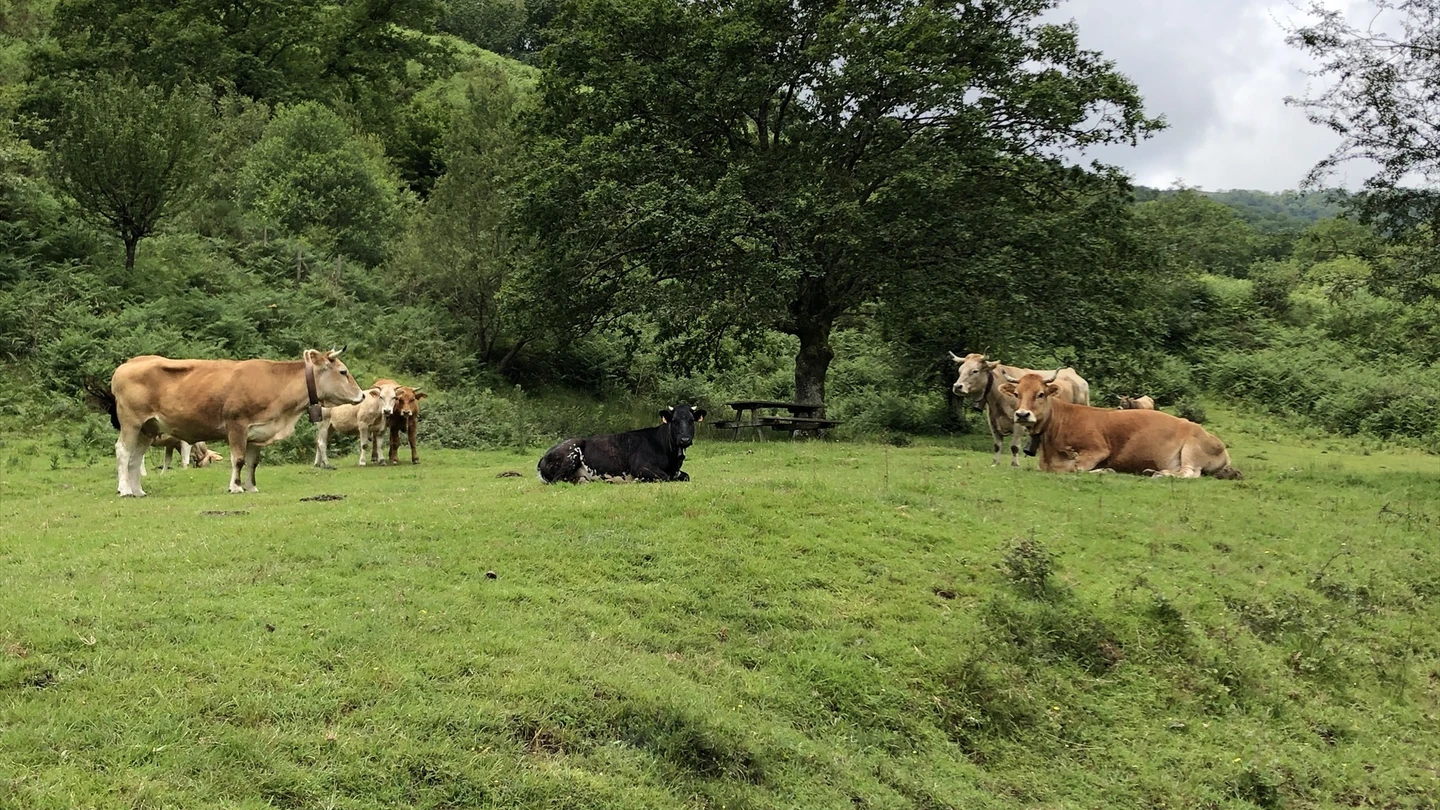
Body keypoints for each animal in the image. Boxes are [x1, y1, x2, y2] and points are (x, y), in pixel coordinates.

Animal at [100, 349, 364, 496]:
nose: (362, 395)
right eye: (343, 372)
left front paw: (252, 487)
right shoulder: (237, 425)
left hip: (148, 427)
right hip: (131, 422)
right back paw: (125, 490)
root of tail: (128, 364)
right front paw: (236, 487)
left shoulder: (258, 432)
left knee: (136, 458)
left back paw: (138, 490)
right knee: (123, 452)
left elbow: (253, 462)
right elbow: (238, 459)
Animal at [538, 404, 706, 484]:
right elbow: (664, 477)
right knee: (558, 479)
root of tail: (543, 457)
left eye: (691, 421)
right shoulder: (641, 466)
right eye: (674, 421)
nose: (685, 439)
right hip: (572, 450)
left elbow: (686, 476)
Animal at [949, 352, 1091, 467]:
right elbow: (997, 445)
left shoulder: (1019, 423)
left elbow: (1014, 446)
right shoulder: (992, 422)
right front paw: (995, 463)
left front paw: (1015, 464)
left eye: (975, 371)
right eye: (960, 370)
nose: (957, 386)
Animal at [1001, 371, 1242, 479]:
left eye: (1040, 394)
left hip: (1191, 448)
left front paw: (1104, 469)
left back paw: (1160, 474)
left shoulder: (1098, 449)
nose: (1022, 414)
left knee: (1190, 473)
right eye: (1017, 393)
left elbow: (1076, 467)